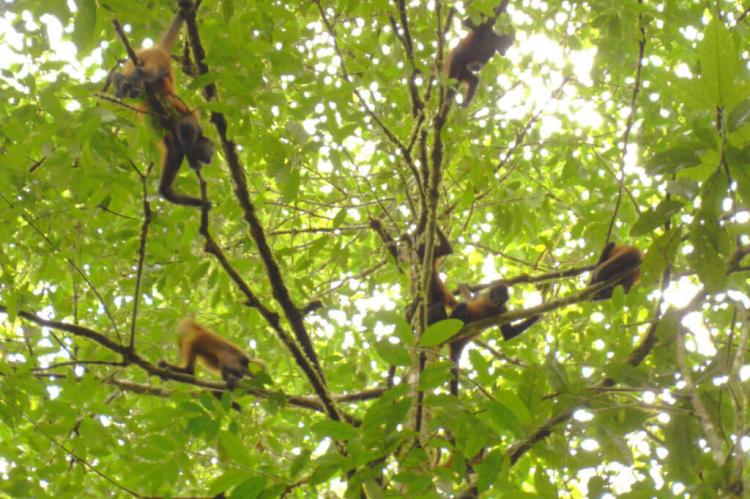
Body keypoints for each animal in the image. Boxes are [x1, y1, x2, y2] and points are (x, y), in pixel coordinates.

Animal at [112, 12, 214, 207]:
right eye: (211, 150)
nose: (211, 159)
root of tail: (158, 49)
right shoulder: (190, 133)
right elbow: (185, 124)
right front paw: (193, 163)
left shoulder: (176, 152)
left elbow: (165, 190)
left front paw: (205, 203)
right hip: (157, 59)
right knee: (150, 72)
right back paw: (135, 78)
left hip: (134, 59)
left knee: (128, 73)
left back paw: (119, 81)